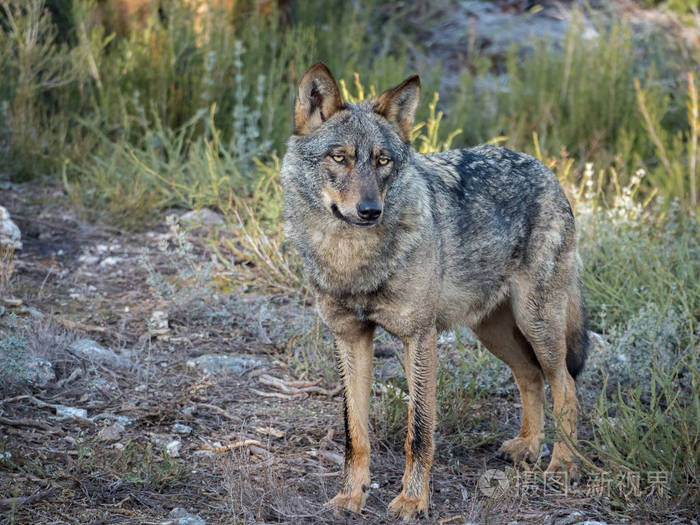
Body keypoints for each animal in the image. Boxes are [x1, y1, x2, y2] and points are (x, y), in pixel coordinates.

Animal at [282, 62, 588, 520]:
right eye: (340, 158)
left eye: (383, 161)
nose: (370, 210)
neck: (352, 259)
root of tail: (545, 169)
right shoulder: (349, 338)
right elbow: (355, 433)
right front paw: (351, 496)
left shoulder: (419, 337)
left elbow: (420, 432)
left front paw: (413, 500)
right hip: (494, 332)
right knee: (530, 375)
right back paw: (528, 446)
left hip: (536, 323)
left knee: (565, 384)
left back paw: (564, 464)